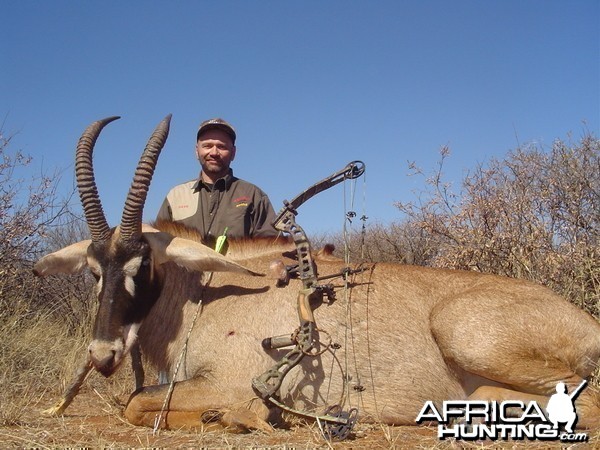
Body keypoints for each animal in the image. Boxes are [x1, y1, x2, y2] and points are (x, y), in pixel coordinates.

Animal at [34, 117, 600, 436]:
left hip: (463, 332)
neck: (203, 293)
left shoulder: (227, 381)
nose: (103, 354)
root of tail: (584, 320)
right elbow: (135, 400)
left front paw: (242, 418)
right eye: (93, 270)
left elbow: (136, 403)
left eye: (144, 264)